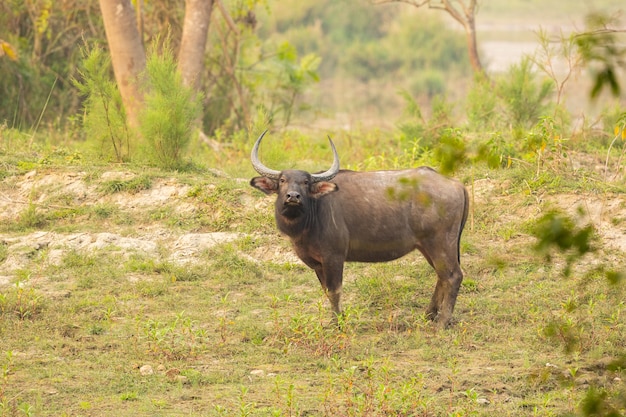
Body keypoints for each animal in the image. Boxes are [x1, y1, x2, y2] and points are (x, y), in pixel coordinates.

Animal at [249, 130, 468, 324]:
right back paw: (429, 315)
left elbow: (335, 291)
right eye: (282, 180)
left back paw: (441, 322)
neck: (311, 218)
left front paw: (337, 323)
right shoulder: (318, 264)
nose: (293, 197)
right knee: (442, 276)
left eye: (305, 182)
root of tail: (456, 184)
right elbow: (326, 291)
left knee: (453, 276)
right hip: (427, 246)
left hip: (441, 243)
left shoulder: (334, 257)